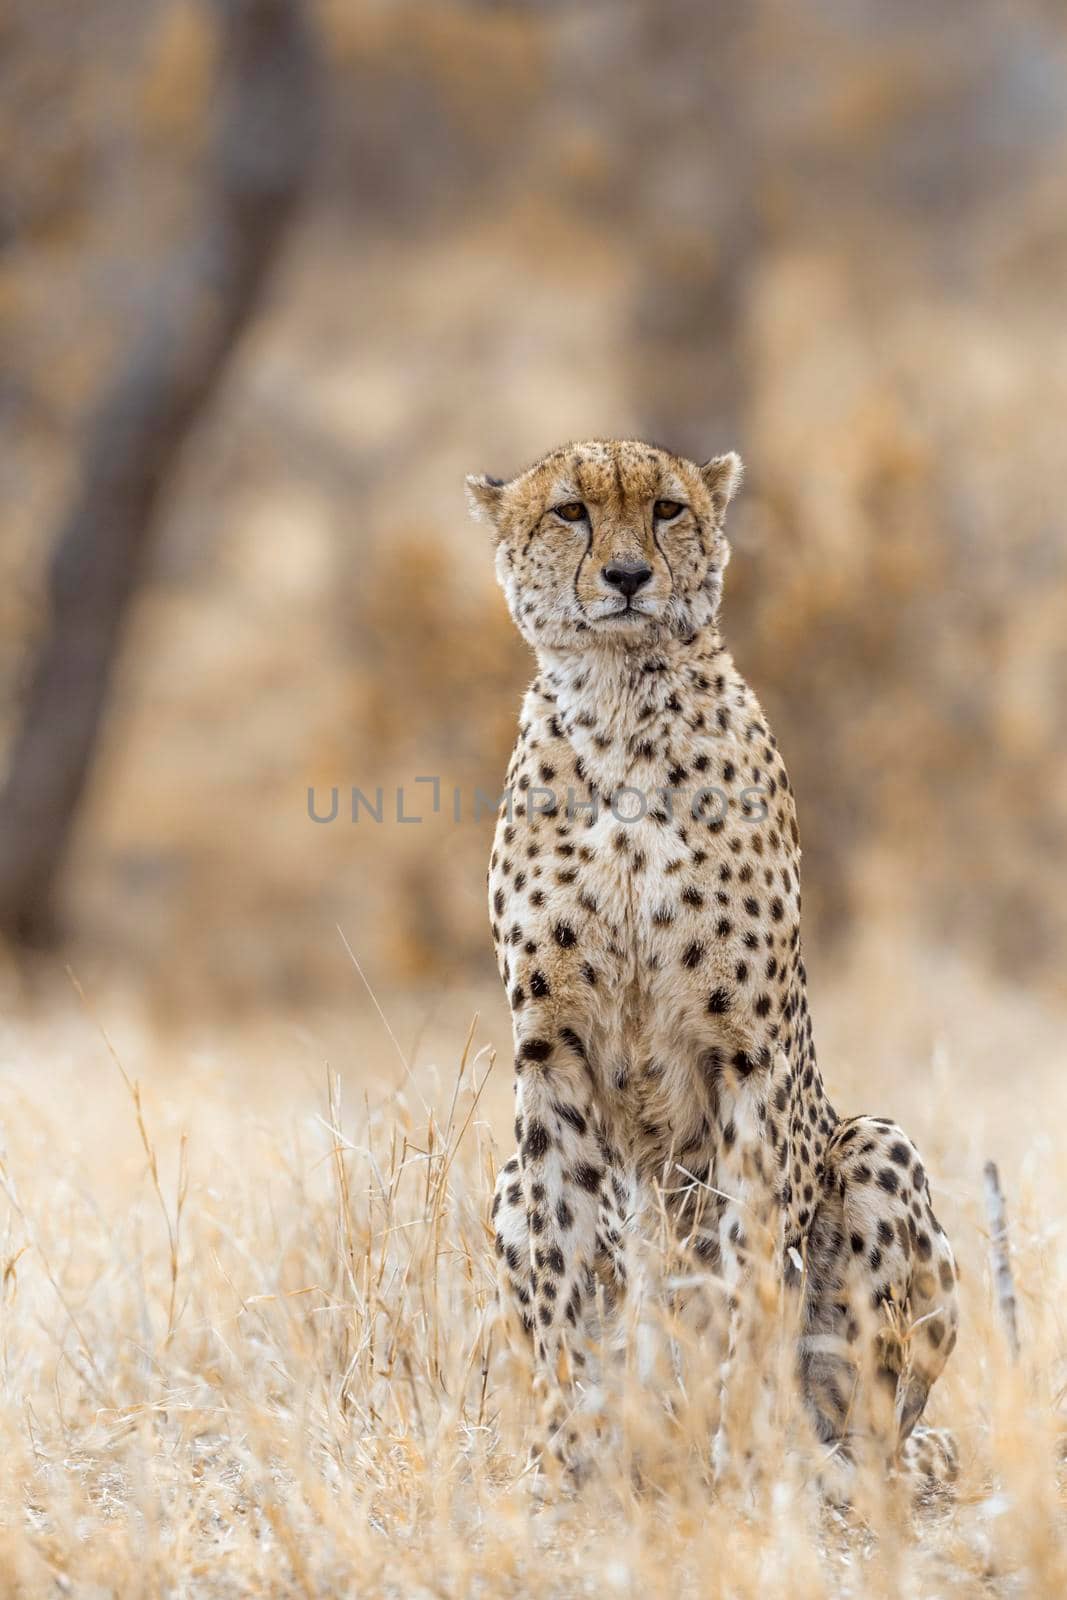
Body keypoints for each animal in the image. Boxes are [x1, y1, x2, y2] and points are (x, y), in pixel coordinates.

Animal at [467, 441, 959, 1497]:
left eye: (665, 509)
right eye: (569, 513)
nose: (625, 576)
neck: (616, 704)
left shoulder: (751, 1058)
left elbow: (748, 1281)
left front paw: (738, 1456)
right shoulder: (550, 1057)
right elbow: (564, 1278)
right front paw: (559, 1461)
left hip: (875, 1147)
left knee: (864, 1422)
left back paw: (816, 1470)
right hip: (506, 1176)